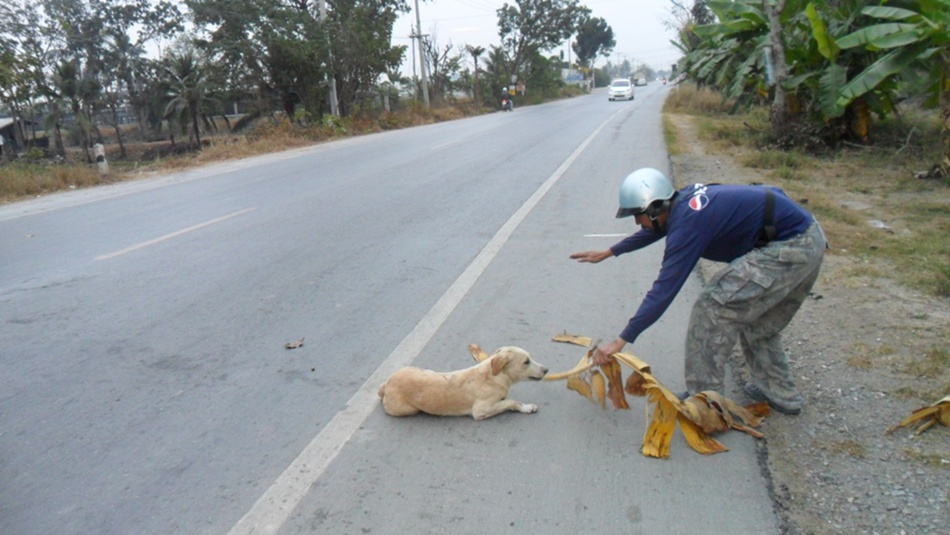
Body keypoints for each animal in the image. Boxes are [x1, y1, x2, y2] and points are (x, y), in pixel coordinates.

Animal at [376, 348, 548, 422]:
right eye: (526, 361)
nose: (546, 369)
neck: (493, 376)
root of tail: (387, 383)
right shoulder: (480, 410)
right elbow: (511, 402)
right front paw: (524, 407)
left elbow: (509, 399)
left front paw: (525, 406)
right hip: (407, 409)